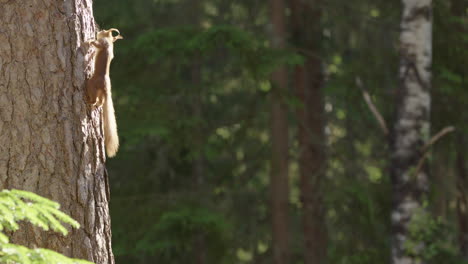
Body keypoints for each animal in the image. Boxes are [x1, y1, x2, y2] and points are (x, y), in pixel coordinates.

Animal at [86, 28, 122, 157]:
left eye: (104, 31)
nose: (99, 30)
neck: (110, 43)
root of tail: (106, 87)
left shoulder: (102, 43)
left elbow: (97, 44)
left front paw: (88, 41)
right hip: (101, 92)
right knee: (101, 102)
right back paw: (96, 103)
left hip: (92, 85)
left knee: (94, 98)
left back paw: (89, 101)